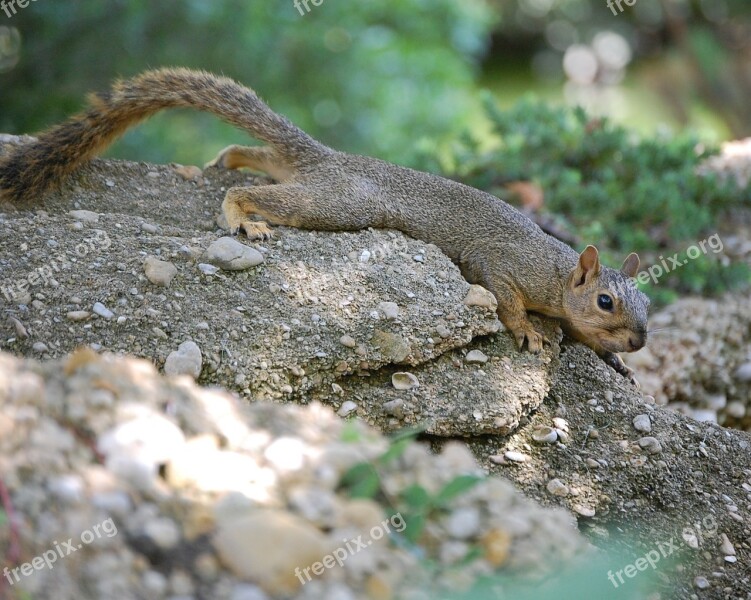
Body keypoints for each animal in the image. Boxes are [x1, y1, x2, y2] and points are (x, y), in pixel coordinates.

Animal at [0, 68, 648, 382]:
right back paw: (242, 217)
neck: (559, 273)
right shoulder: (506, 267)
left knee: (261, 156)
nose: (640, 341)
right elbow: (506, 300)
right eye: (607, 301)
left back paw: (228, 158)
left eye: (649, 308)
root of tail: (331, 160)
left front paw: (613, 361)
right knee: (256, 194)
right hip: (336, 204)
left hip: (309, 182)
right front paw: (531, 333)